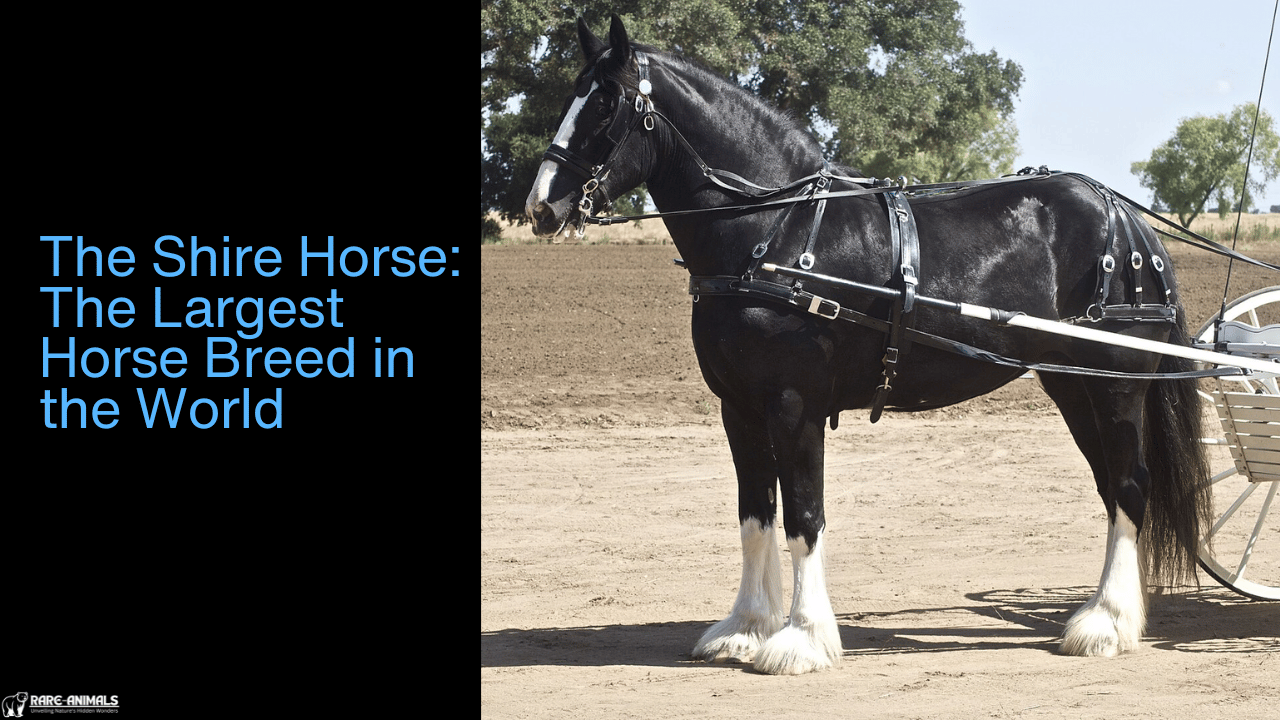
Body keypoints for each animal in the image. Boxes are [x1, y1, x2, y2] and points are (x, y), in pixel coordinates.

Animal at [522, 16, 1208, 671]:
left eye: (604, 106)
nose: (540, 208)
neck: (775, 230)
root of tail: (1124, 214)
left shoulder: (794, 404)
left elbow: (803, 517)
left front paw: (802, 639)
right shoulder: (739, 408)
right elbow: (754, 516)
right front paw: (746, 627)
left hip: (1116, 385)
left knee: (1130, 485)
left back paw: (1108, 623)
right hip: (1071, 383)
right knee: (1112, 486)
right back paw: (1103, 616)